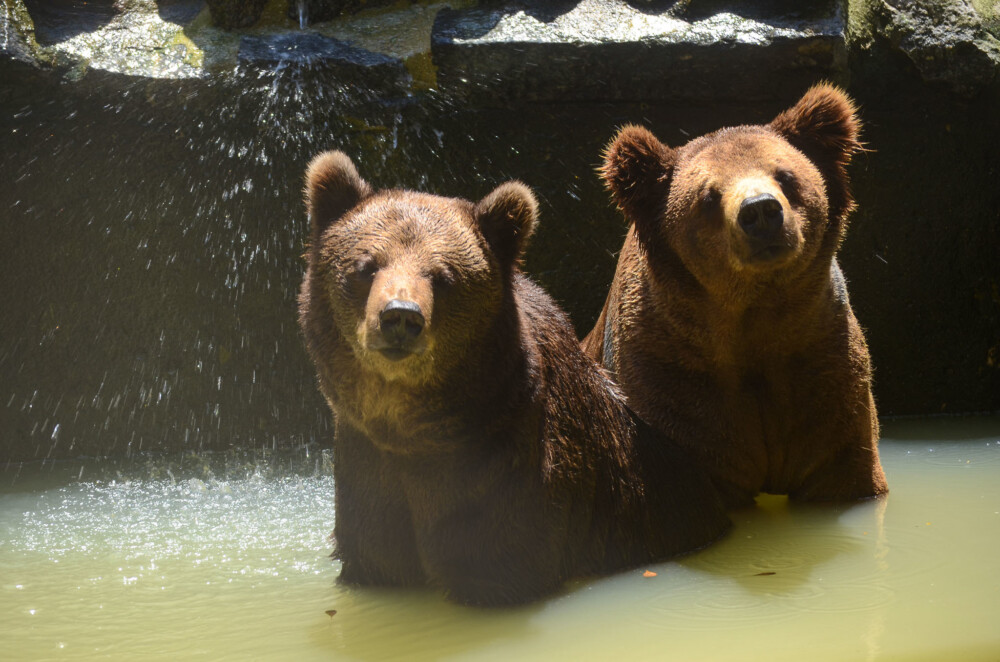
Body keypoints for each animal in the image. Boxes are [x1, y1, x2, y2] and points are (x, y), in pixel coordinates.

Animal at [294, 150, 728, 608]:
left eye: (443, 277)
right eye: (366, 266)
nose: (400, 316)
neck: (414, 432)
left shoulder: (504, 469)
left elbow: (499, 563)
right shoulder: (367, 468)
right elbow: (375, 556)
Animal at [584, 83, 892, 508]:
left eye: (786, 175)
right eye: (708, 197)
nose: (760, 211)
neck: (753, 315)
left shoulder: (824, 364)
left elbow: (842, 469)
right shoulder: (675, 383)